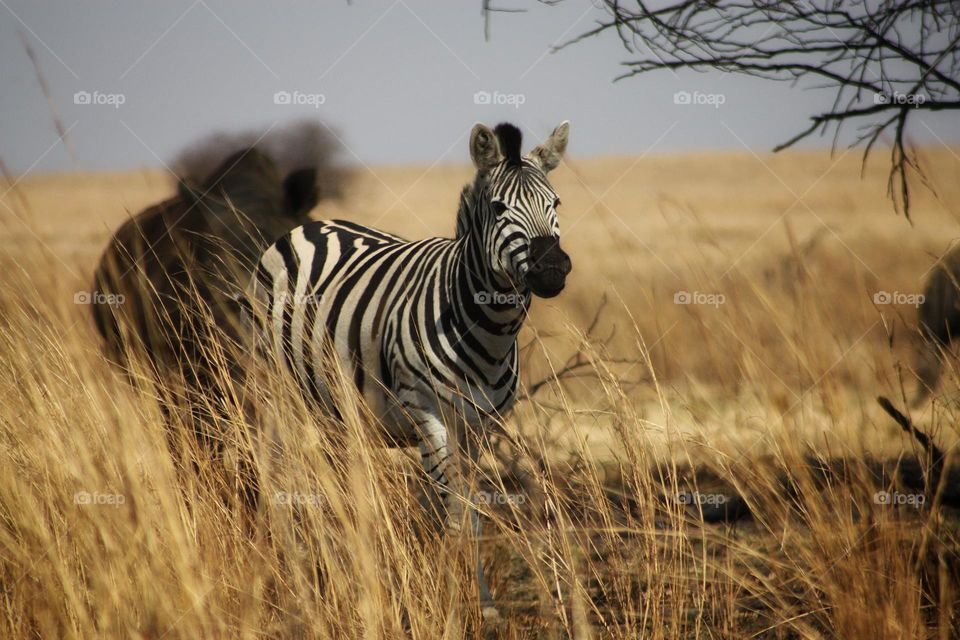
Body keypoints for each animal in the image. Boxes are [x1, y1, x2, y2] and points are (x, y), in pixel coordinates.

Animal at [248, 121, 572, 619]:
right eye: (499, 208)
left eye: (555, 204)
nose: (553, 268)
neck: (487, 328)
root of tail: (310, 226)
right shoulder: (428, 413)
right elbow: (455, 516)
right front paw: (451, 603)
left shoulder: (479, 427)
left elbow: (471, 514)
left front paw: (483, 604)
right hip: (277, 392)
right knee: (281, 479)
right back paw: (293, 572)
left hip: (338, 407)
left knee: (344, 491)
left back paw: (346, 566)